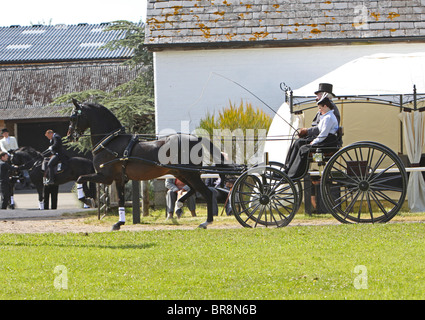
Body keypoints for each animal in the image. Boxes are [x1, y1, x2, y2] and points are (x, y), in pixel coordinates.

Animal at [67, 100, 229, 230]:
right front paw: (119, 223)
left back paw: (206, 222)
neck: (110, 142)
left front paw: (86, 199)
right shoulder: (119, 179)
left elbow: (80, 178)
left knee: (206, 193)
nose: (69, 136)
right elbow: (120, 199)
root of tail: (196, 138)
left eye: (73, 117)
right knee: (193, 190)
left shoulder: (105, 177)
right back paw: (179, 205)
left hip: (190, 173)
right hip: (182, 173)